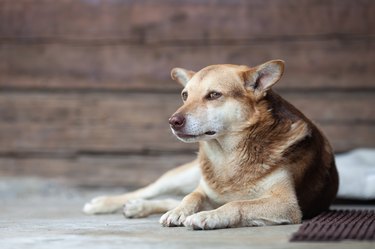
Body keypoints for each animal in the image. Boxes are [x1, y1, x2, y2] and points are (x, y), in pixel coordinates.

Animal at [83, 59, 340, 230]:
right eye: (185, 95)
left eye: (214, 95)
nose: (172, 122)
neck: (228, 155)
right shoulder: (204, 189)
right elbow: (191, 198)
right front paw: (179, 212)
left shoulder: (286, 204)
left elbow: (236, 204)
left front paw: (206, 216)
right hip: (184, 175)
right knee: (152, 190)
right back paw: (110, 203)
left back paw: (139, 207)